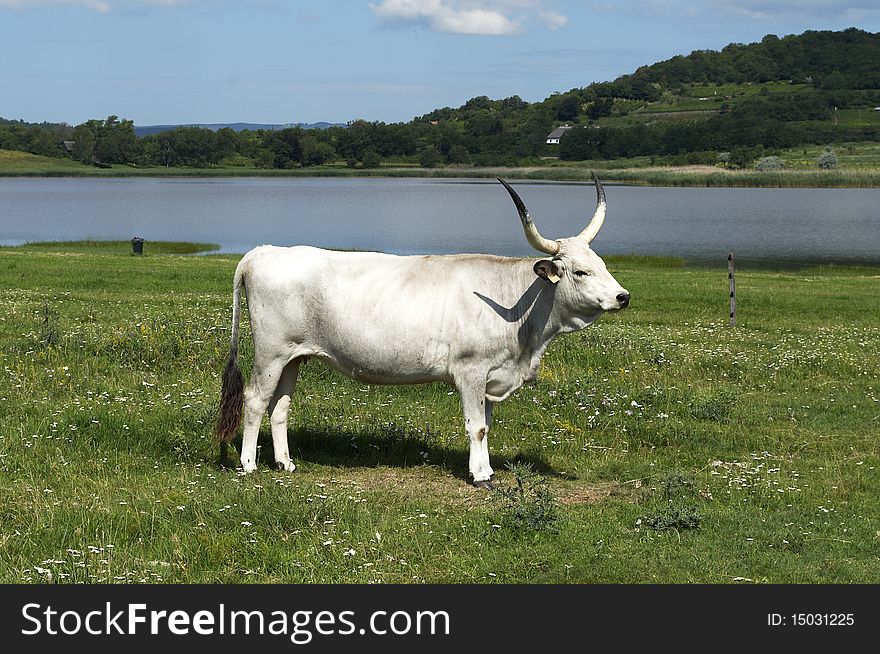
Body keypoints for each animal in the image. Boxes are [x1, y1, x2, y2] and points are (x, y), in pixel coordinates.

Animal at [220, 174, 632, 486]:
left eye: (603, 264)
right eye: (580, 271)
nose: (622, 296)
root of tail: (263, 251)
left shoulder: (491, 374)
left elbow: (486, 424)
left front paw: (486, 468)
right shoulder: (470, 370)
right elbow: (476, 427)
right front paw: (481, 476)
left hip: (294, 356)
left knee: (280, 406)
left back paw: (285, 463)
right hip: (270, 352)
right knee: (255, 399)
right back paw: (249, 464)